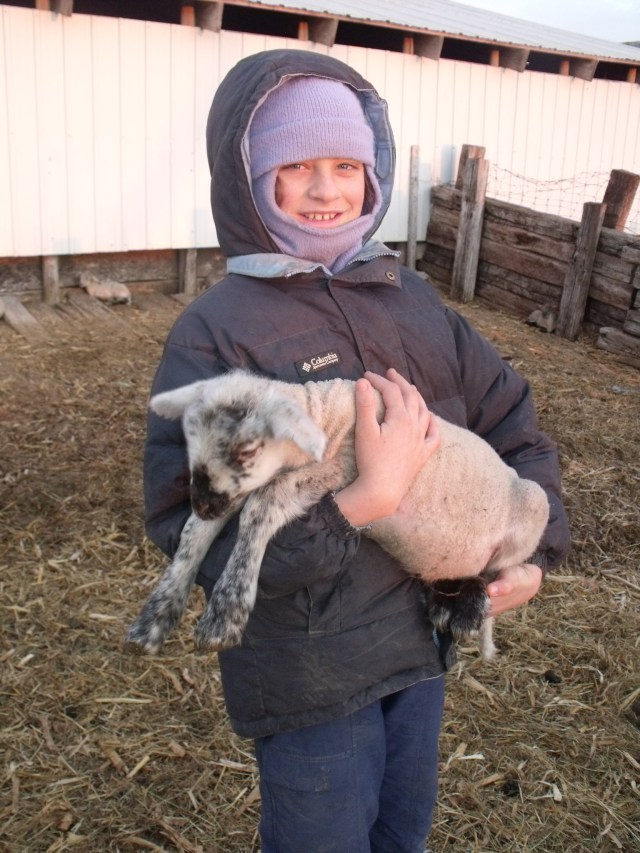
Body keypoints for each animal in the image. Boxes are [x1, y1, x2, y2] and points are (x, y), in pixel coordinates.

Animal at [125, 370, 549, 661]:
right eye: (189, 441)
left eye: (246, 450)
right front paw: (154, 619)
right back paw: (445, 605)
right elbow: (193, 534)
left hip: (534, 506)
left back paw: (468, 608)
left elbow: (263, 502)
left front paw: (225, 615)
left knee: (492, 572)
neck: (325, 414)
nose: (201, 502)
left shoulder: (340, 468)